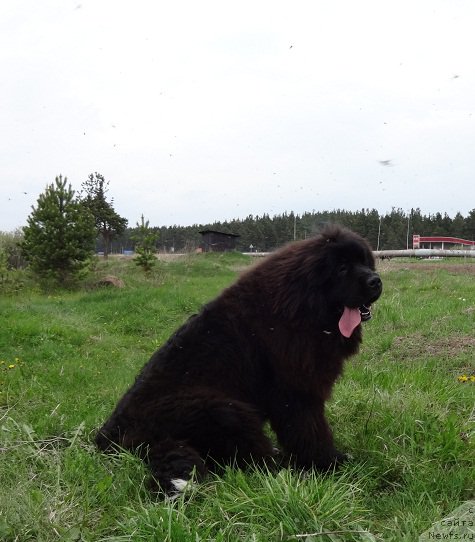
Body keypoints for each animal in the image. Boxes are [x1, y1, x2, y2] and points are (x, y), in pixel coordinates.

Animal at [96, 225, 384, 498]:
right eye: (342, 268)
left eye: (365, 262)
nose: (376, 281)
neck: (303, 306)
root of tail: (109, 440)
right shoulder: (296, 393)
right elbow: (310, 430)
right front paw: (329, 462)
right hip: (224, 410)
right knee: (258, 463)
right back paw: (287, 466)